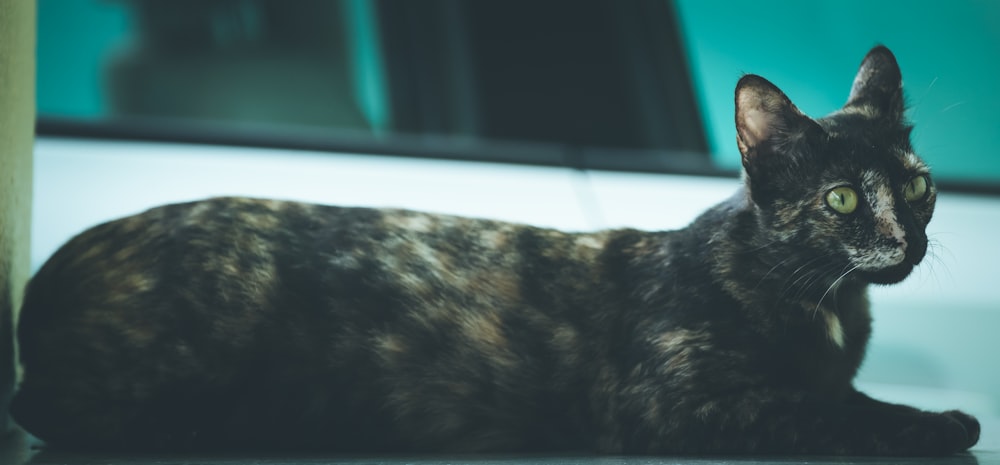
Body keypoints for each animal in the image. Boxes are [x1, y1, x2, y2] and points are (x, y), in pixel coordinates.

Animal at [9, 46, 976, 454]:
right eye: (842, 198)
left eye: (918, 185)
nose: (906, 238)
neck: (829, 311)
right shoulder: (671, 406)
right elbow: (830, 412)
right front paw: (939, 422)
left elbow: (843, 398)